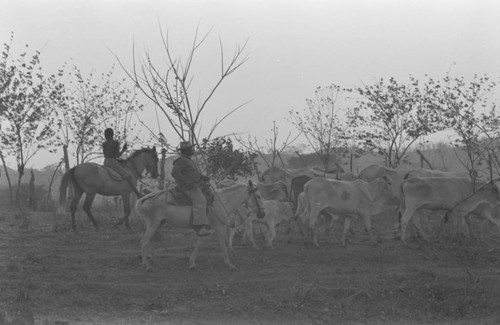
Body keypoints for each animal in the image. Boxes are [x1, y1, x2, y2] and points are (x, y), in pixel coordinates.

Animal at [135, 181, 264, 270]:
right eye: (258, 196)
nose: (262, 213)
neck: (222, 201)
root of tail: (146, 199)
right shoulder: (219, 227)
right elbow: (222, 245)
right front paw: (230, 264)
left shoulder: (207, 228)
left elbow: (199, 243)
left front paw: (192, 262)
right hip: (153, 223)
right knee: (144, 241)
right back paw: (146, 265)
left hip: (158, 224)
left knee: (149, 241)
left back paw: (153, 261)